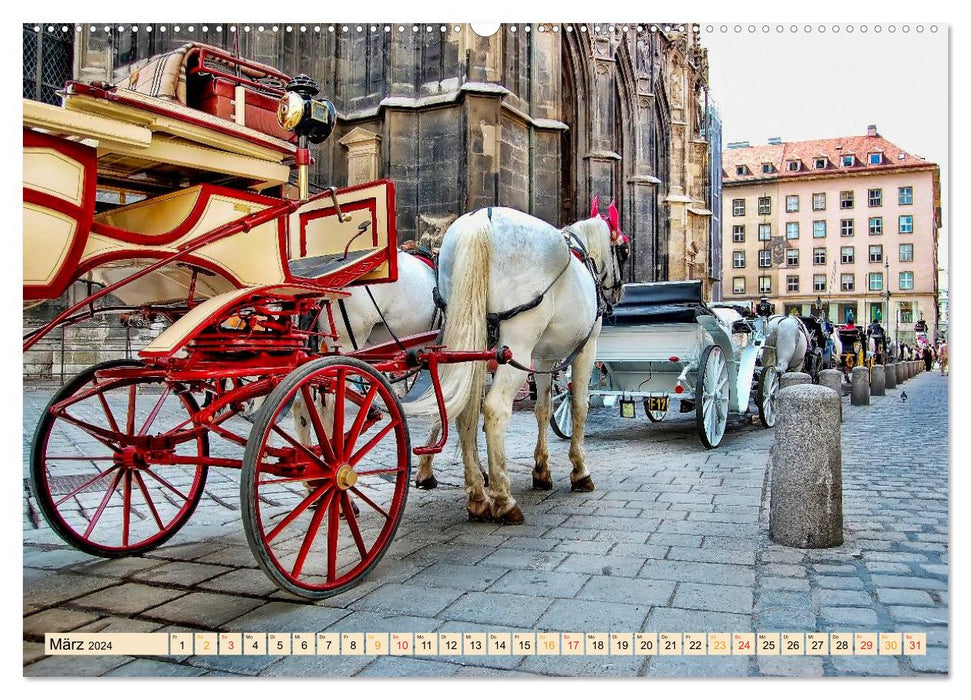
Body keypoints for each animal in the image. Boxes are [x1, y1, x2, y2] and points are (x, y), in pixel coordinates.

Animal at [402, 205, 624, 524]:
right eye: (624, 251)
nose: (617, 293)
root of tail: (481, 221)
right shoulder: (586, 348)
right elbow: (579, 405)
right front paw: (580, 472)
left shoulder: (542, 356)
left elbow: (543, 408)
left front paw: (541, 471)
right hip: (517, 343)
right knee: (494, 408)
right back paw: (503, 499)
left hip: (470, 340)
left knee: (463, 409)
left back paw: (477, 497)